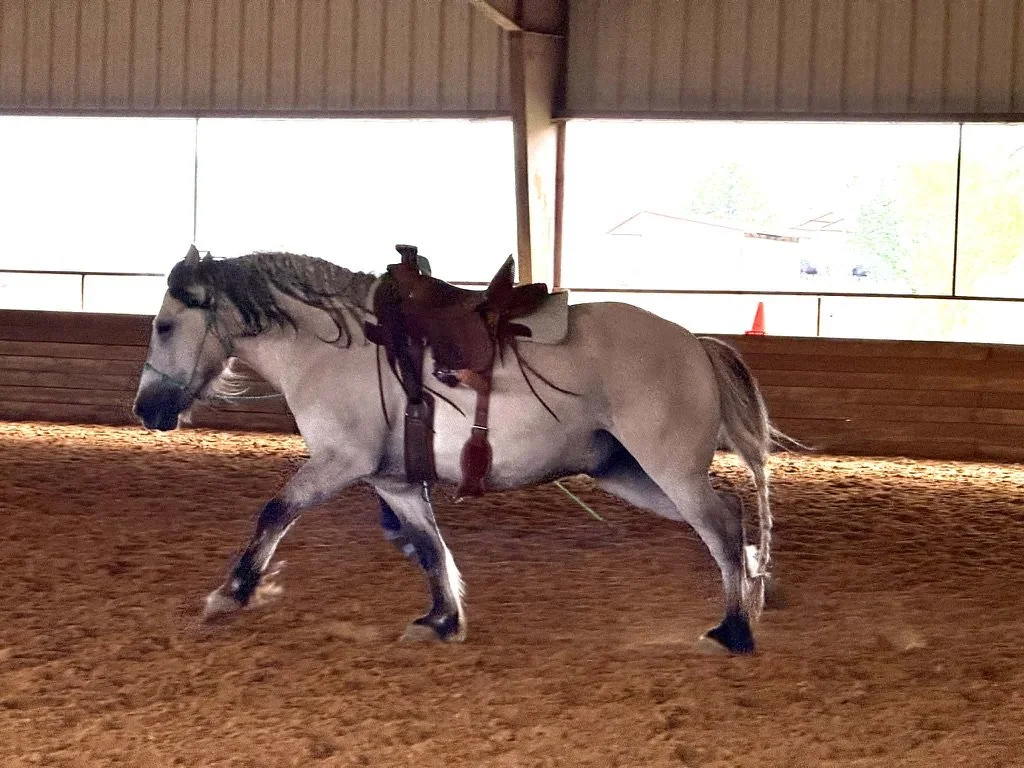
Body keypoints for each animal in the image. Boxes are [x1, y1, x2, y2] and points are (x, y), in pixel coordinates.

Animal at [133, 244, 789, 654]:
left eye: (164, 326)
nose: (146, 409)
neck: (333, 346)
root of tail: (696, 343)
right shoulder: (393, 480)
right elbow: (428, 547)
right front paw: (442, 620)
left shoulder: (339, 463)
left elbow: (275, 511)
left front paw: (234, 591)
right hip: (627, 473)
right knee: (730, 524)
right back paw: (749, 605)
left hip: (669, 469)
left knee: (721, 526)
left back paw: (733, 632)